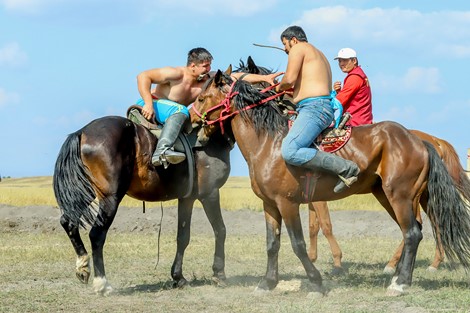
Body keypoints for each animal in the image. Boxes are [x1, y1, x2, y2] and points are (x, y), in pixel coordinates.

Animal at [53, 114, 233, 292]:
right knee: (97, 234)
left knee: (68, 222)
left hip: (86, 190)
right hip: (110, 197)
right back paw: (102, 284)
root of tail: (82, 131)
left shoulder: (186, 198)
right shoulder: (210, 194)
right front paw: (219, 275)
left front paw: (179, 278)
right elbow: (220, 230)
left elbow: (183, 237)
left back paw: (83, 267)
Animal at [189, 68, 470, 294]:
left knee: (412, 233)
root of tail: (420, 140)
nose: (192, 122)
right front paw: (267, 283)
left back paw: (401, 283)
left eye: (201, 98)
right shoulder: (270, 205)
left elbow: (298, 243)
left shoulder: (288, 203)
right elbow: (272, 244)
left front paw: (316, 281)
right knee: (416, 231)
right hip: (392, 196)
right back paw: (400, 276)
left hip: (400, 197)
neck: (269, 142)